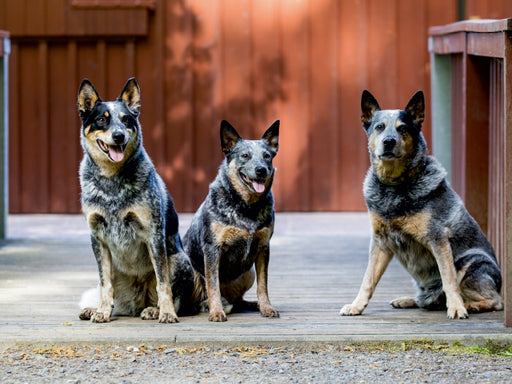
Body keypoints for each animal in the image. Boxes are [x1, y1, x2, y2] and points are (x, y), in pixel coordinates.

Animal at [76, 76, 194, 322]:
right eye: (101, 119)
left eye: (126, 119)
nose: (119, 135)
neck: (111, 180)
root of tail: (138, 300)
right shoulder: (97, 237)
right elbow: (105, 284)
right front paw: (102, 311)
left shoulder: (153, 233)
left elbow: (163, 282)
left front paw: (166, 312)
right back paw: (95, 308)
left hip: (179, 261)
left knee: (174, 296)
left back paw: (154, 309)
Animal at [183, 119, 280, 320]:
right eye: (245, 155)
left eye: (267, 156)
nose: (261, 170)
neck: (246, 207)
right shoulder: (212, 248)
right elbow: (213, 285)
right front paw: (217, 311)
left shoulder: (263, 247)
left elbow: (263, 285)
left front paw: (266, 307)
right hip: (189, 268)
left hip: (248, 272)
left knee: (237, 301)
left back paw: (251, 304)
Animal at [338, 89, 502, 318]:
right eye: (379, 127)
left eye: (403, 128)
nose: (389, 141)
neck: (395, 185)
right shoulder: (381, 242)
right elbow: (368, 279)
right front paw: (356, 305)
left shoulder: (438, 238)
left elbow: (449, 279)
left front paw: (457, 308)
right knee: (427, 300)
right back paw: (408, 300)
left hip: (470, 263)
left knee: (495, 301)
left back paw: (470, 305)